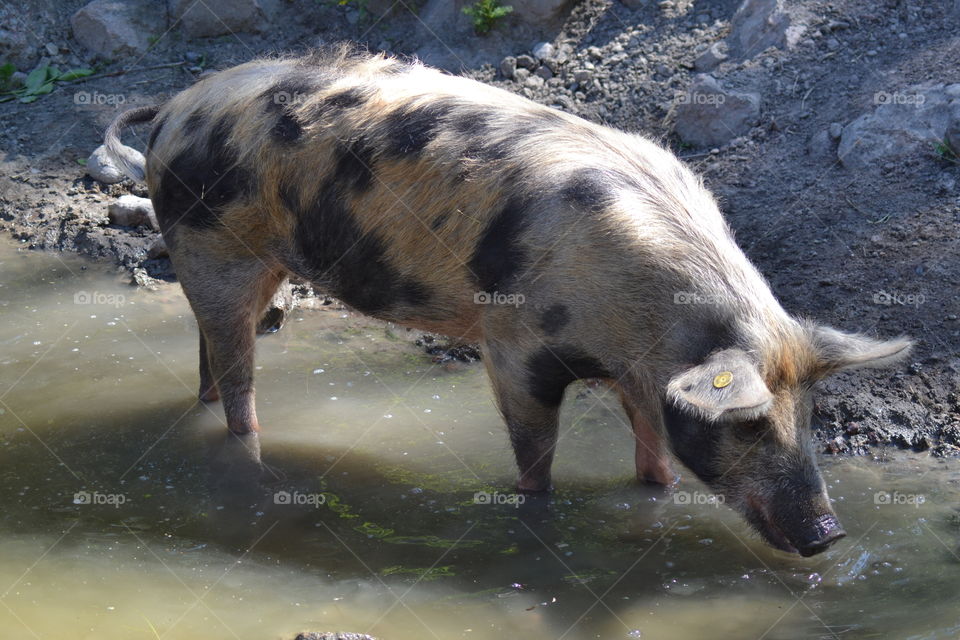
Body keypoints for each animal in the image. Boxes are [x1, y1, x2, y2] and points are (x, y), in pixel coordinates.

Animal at [104, 45, 911, 556]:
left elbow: (654, 461)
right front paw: (535, 522)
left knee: (211, 357)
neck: (641, 325)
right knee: (237, 381)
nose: (830, 535)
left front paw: (647, 498)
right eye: (745, 423)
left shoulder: (639, 375)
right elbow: (534, 463)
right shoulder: (514, 348)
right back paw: (246, 452)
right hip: (212, 248)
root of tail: (176, 106)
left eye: (809, 414)